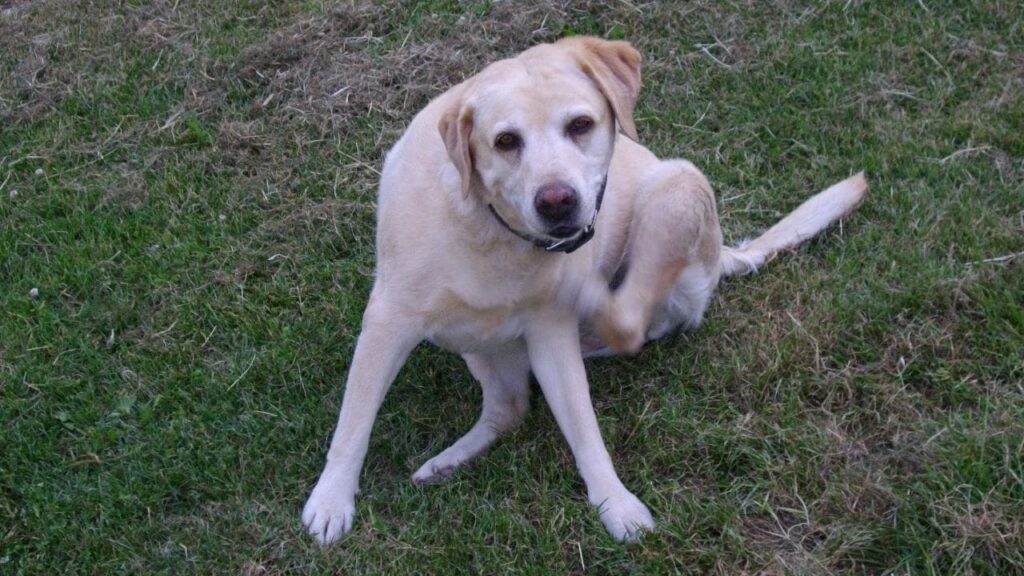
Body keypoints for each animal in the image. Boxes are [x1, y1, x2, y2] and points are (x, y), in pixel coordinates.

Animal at [299, 35, 868, 541]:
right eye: (505, 141)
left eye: (580, 125)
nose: (558, 202)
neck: (489, 228)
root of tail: (721, 252)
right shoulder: (388, 320)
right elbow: (353, 422)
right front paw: (331, 500)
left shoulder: (550, 336)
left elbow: (586, 431)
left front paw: (615, 504)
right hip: (476, 344)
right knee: (508, 409)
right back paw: (448, 461)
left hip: (675, 186)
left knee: (627, 323)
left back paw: (593, 298)